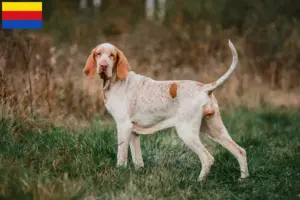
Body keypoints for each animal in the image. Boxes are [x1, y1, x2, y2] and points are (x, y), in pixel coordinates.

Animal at [82, 39, 248, 182]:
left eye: (112, 55)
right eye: (98, 54)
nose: (103, 66)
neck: (115, 82)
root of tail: (205, 88)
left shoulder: (123, 126)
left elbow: (121, 156)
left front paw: (119, 174)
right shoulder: (134, 133)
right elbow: (138, 160)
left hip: (186, 131)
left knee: (208, 158)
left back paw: (198, 182)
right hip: (215, 130)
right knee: (240, 151)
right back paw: (243, 180)